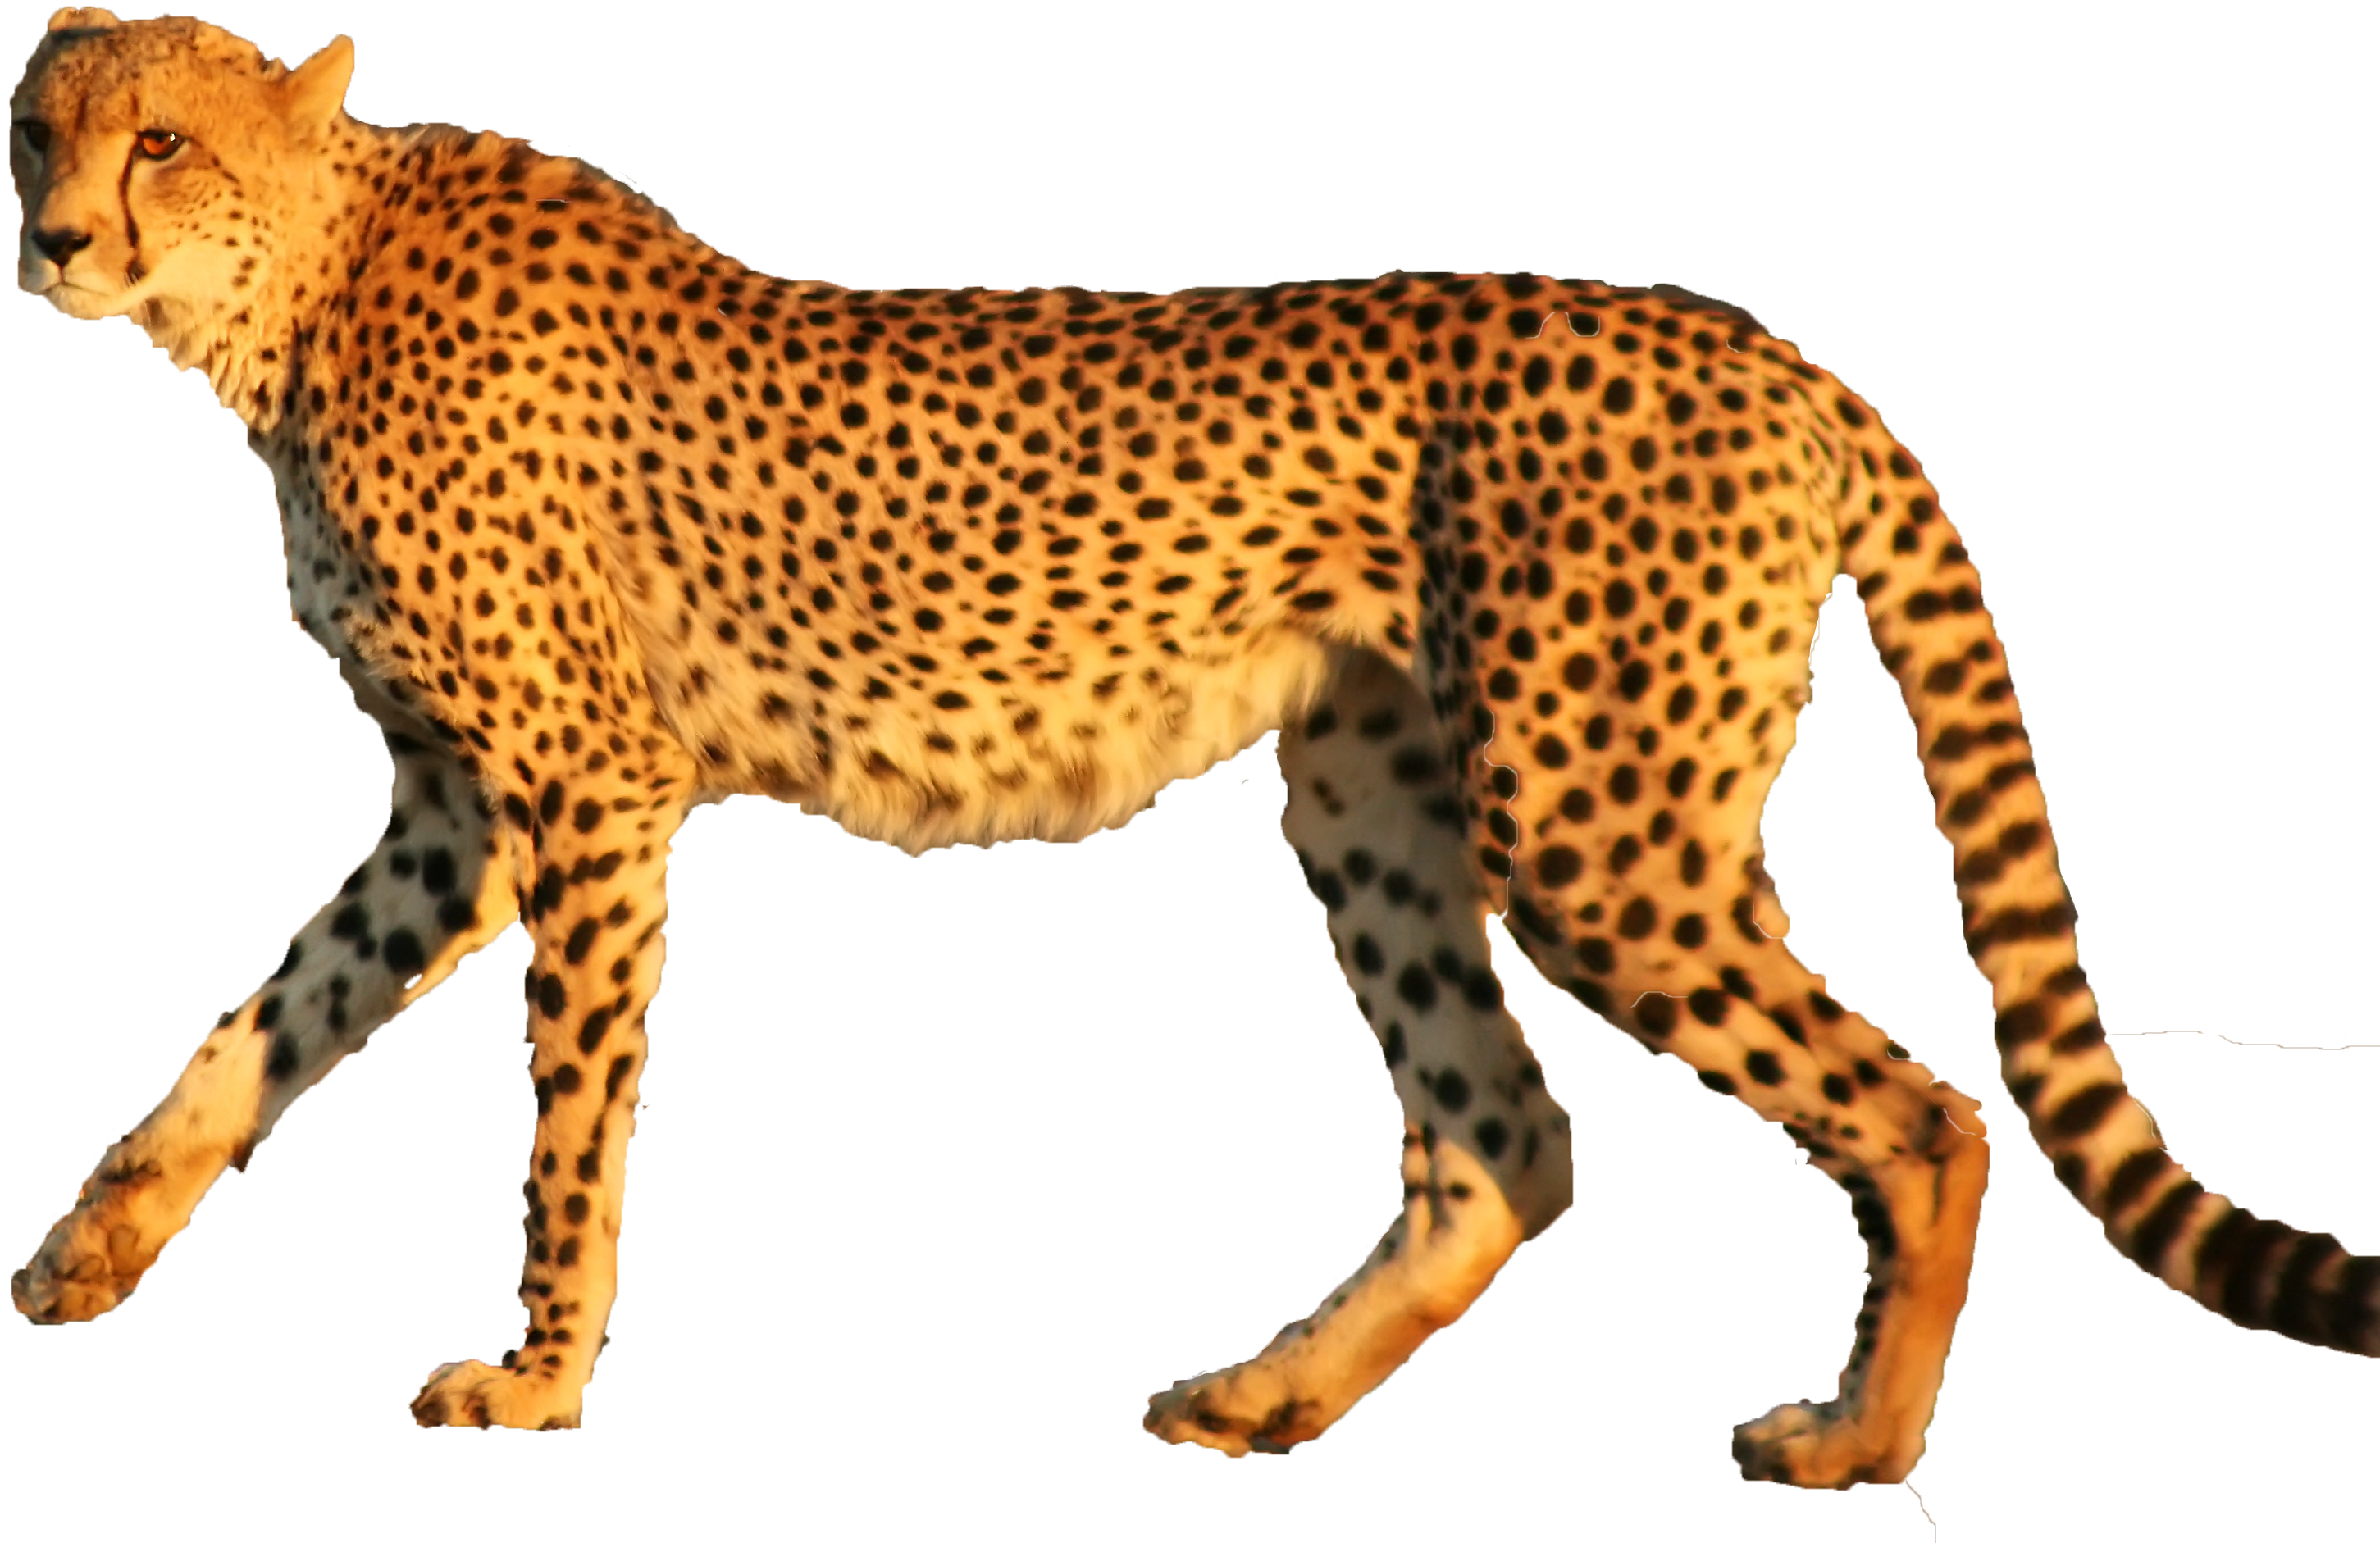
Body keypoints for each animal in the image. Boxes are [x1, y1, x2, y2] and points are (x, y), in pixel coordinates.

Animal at [10, 9, 2371, 1479]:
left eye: (165, 143)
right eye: (45, 125)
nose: (52, 237)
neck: (293, 290)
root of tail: (1760, 342)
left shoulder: (583, 794)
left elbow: (568, 1121)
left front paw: (530, 1374)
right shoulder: (450, 811)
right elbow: (261, 1020)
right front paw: (94, 1245)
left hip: (1590, 824)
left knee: (1920, 1109)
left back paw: (1852, 1443)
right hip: (1371, 800)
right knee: (1502, 1140)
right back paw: (1265, 1398)